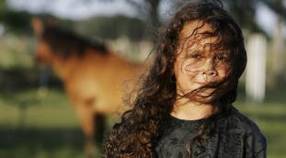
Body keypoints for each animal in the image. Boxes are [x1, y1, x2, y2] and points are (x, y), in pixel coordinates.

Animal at [32, 18, 146, 157]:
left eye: (41, 39)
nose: (36, 58)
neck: (80, 63)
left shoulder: (85, 107)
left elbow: (89, 135)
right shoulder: (99, 112)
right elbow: (98, 136)